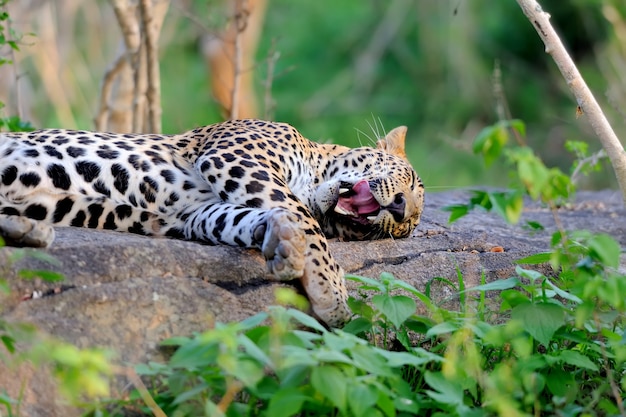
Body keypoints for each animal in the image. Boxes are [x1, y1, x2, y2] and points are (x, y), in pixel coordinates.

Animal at [0, 118, 424, 326]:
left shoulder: (191, 213)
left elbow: (234, 218)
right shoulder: (237, 157)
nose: (401, 210)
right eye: (411, 180)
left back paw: (27, 230)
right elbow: (306, 220)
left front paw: (281, 238)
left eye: (405, 229)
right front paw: (331, 290)